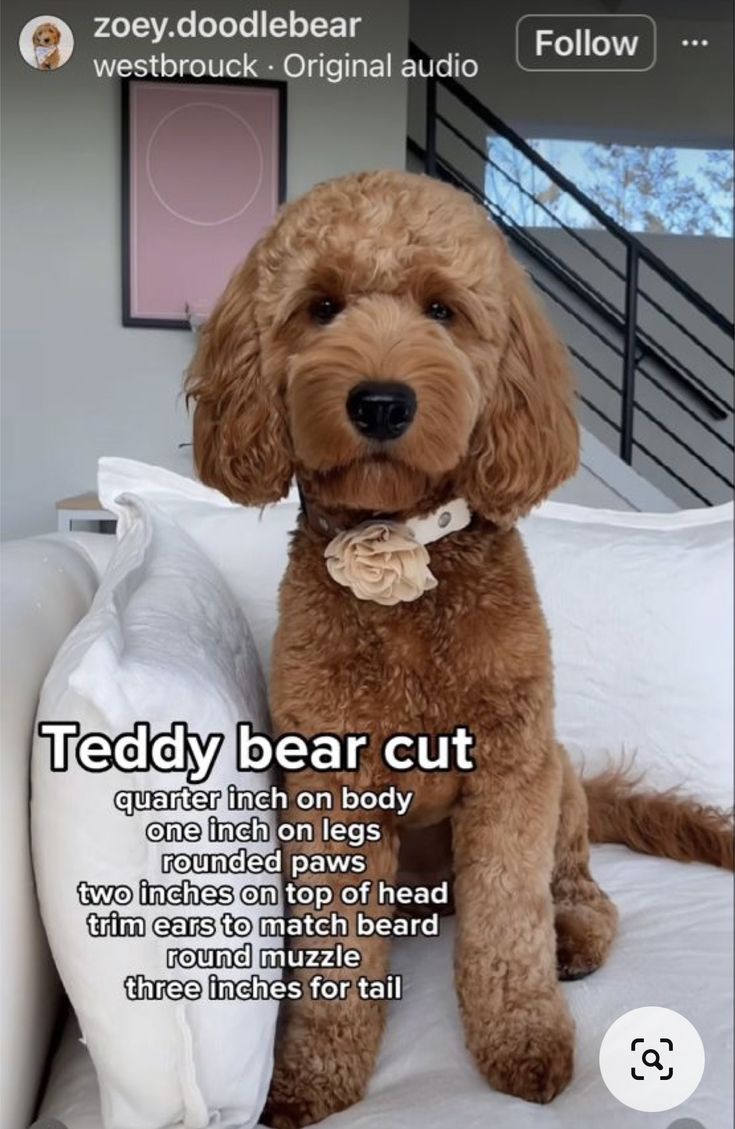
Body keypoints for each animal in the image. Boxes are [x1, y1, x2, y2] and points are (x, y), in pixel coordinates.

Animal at [185, 171, 735, 1124]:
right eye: (320, 307)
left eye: (441, 309)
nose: (380, 401)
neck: (404, 554)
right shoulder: (330, 787)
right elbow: (335, 957)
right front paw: (312, 1072)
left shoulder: (510, 770)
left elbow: (507, 926)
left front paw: (522, 1038)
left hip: (557, 778)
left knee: (578, 887)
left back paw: (572, 936)